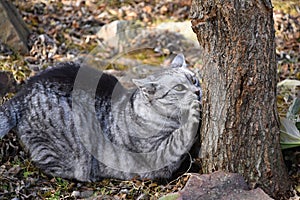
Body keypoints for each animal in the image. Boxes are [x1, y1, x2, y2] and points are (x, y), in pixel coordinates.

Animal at [0, 54, 202, 182]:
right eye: (179, 88)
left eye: (194, 80)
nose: (198, 91)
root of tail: (24, 92)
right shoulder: (157, 154)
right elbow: (180, 137)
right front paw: (192, 112)